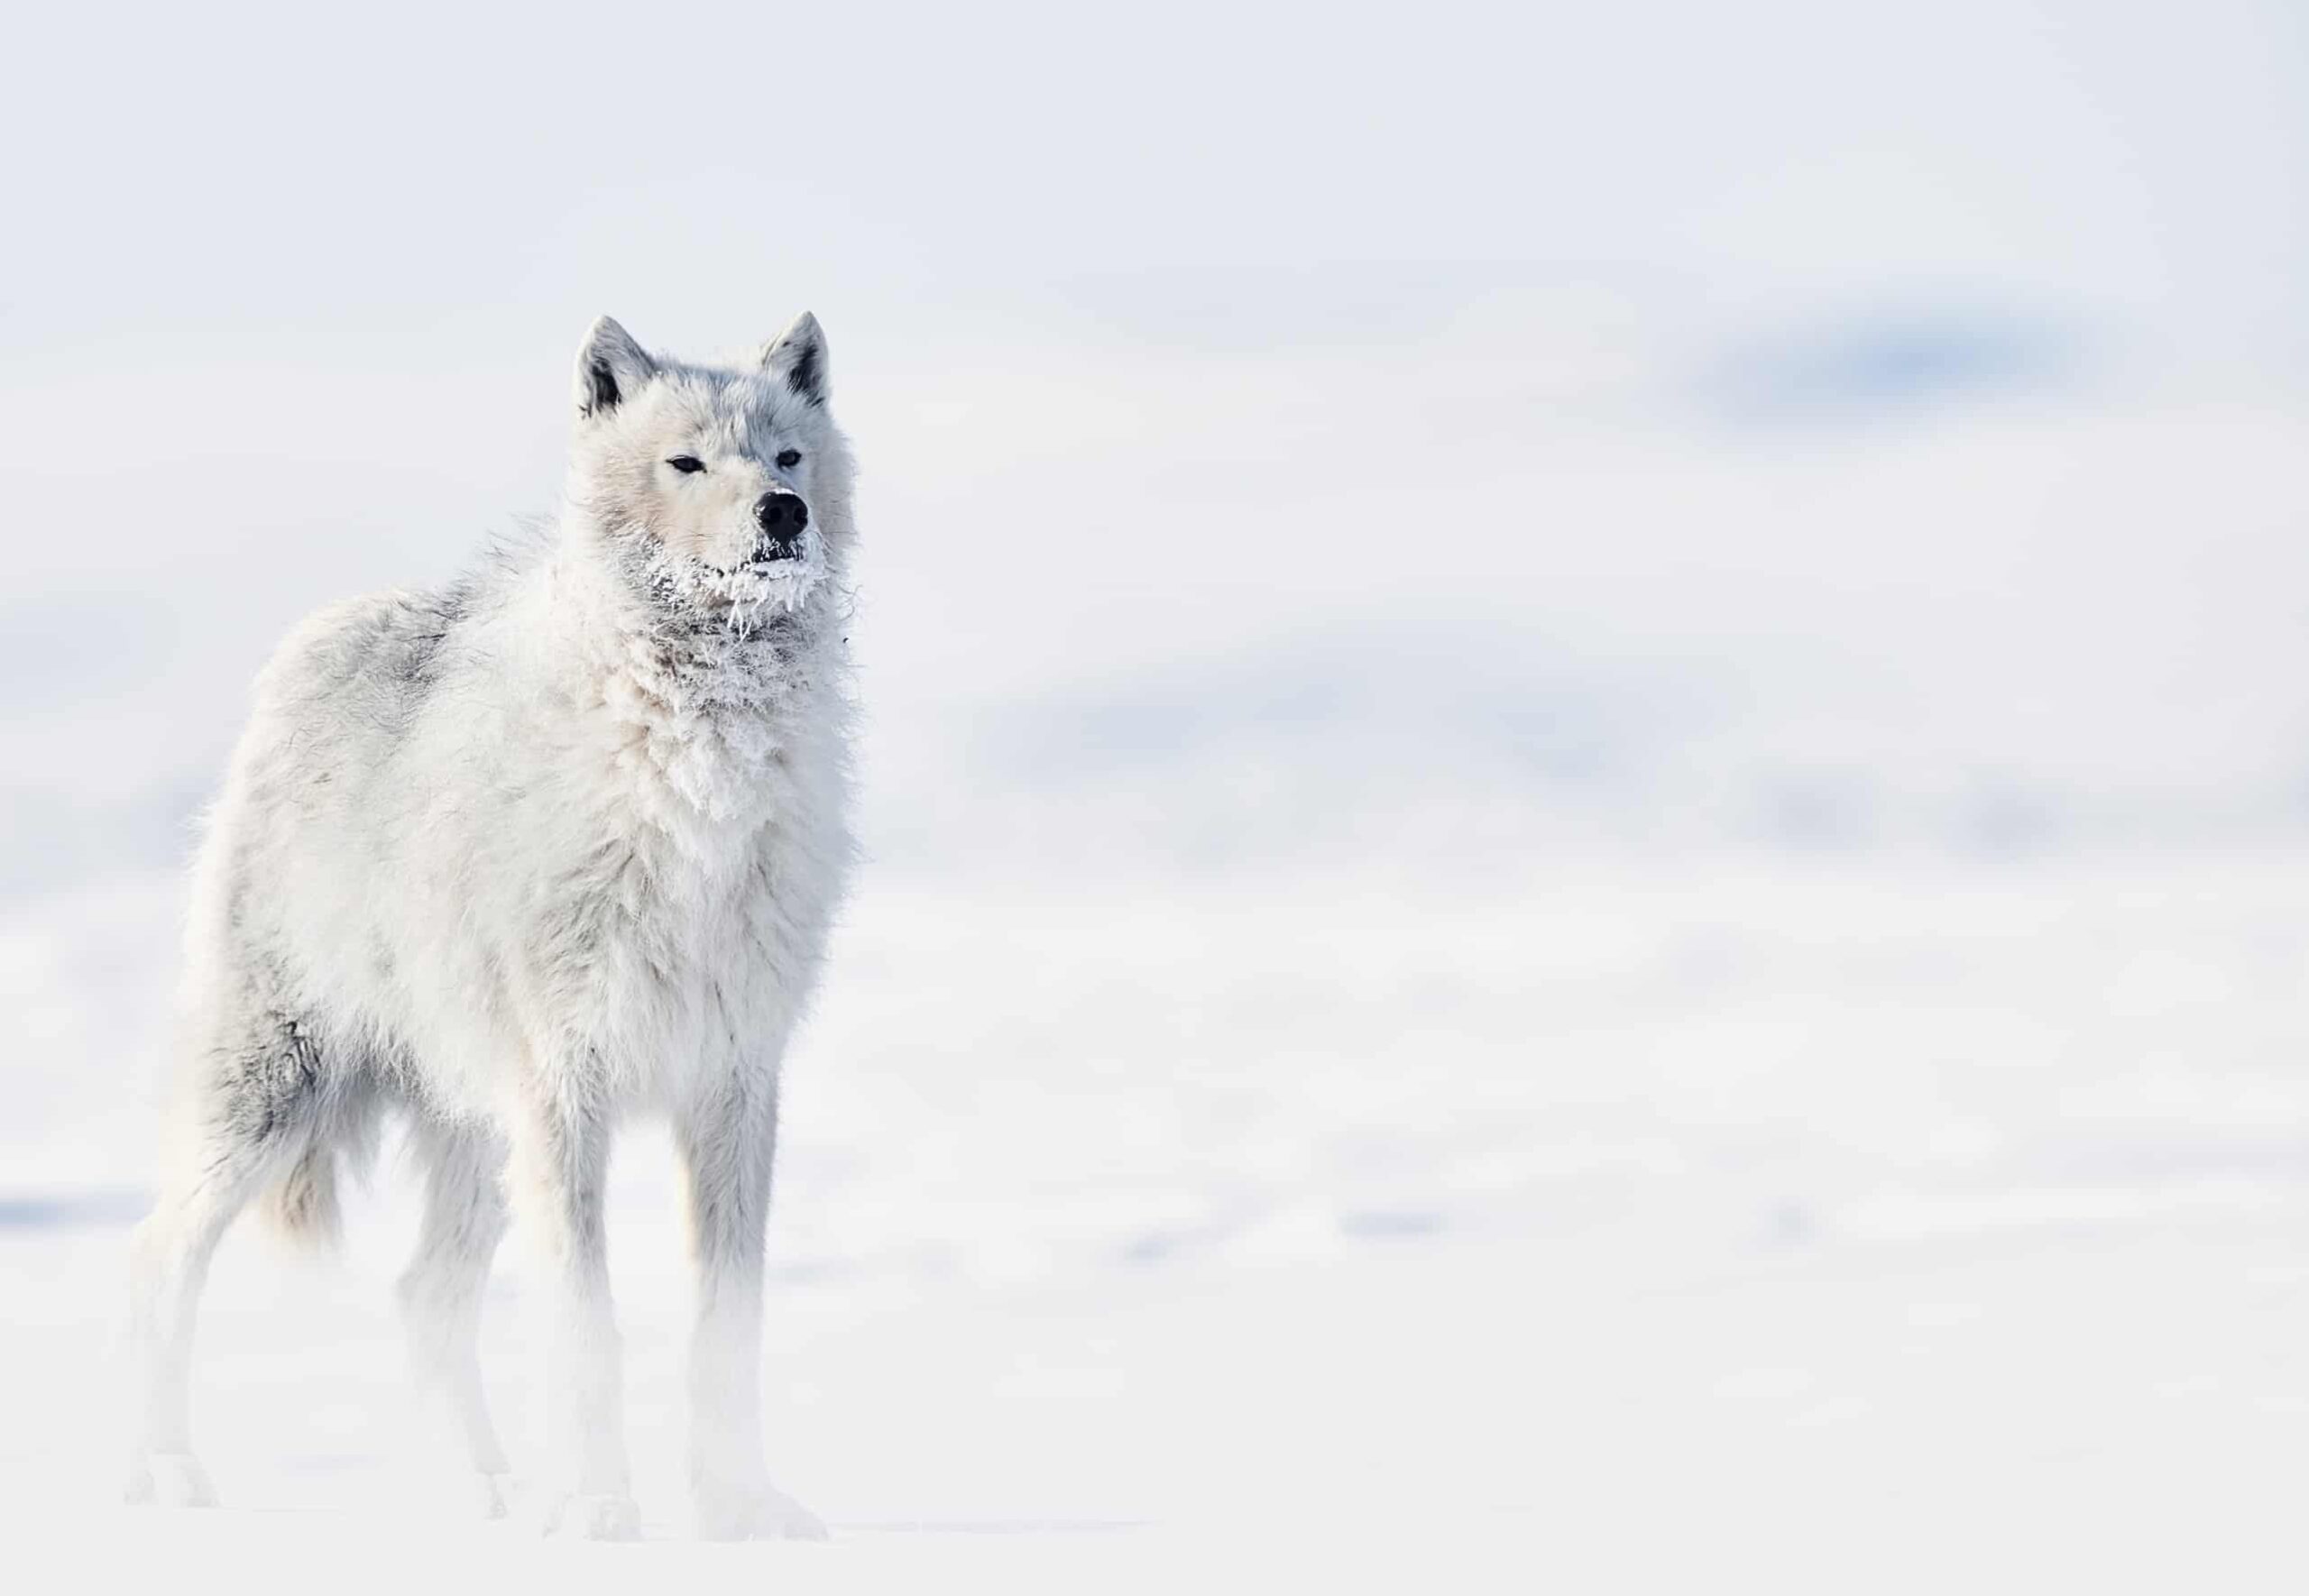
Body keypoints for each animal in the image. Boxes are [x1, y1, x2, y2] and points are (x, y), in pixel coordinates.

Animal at [124, 313, 855, 1540]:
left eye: (787, 456)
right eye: (687, 463)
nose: (782, 513)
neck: (691, 763)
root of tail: (320, 639)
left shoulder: (735, 1081)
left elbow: (727, 1328)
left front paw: (739, 1507)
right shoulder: (567, 1089)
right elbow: (587, 1329)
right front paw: (602, 1512)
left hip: (472, 1129)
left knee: (422, 1296)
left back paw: (484, 1494)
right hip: (276, 1097)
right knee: (158, 1257)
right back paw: (168, 1477)